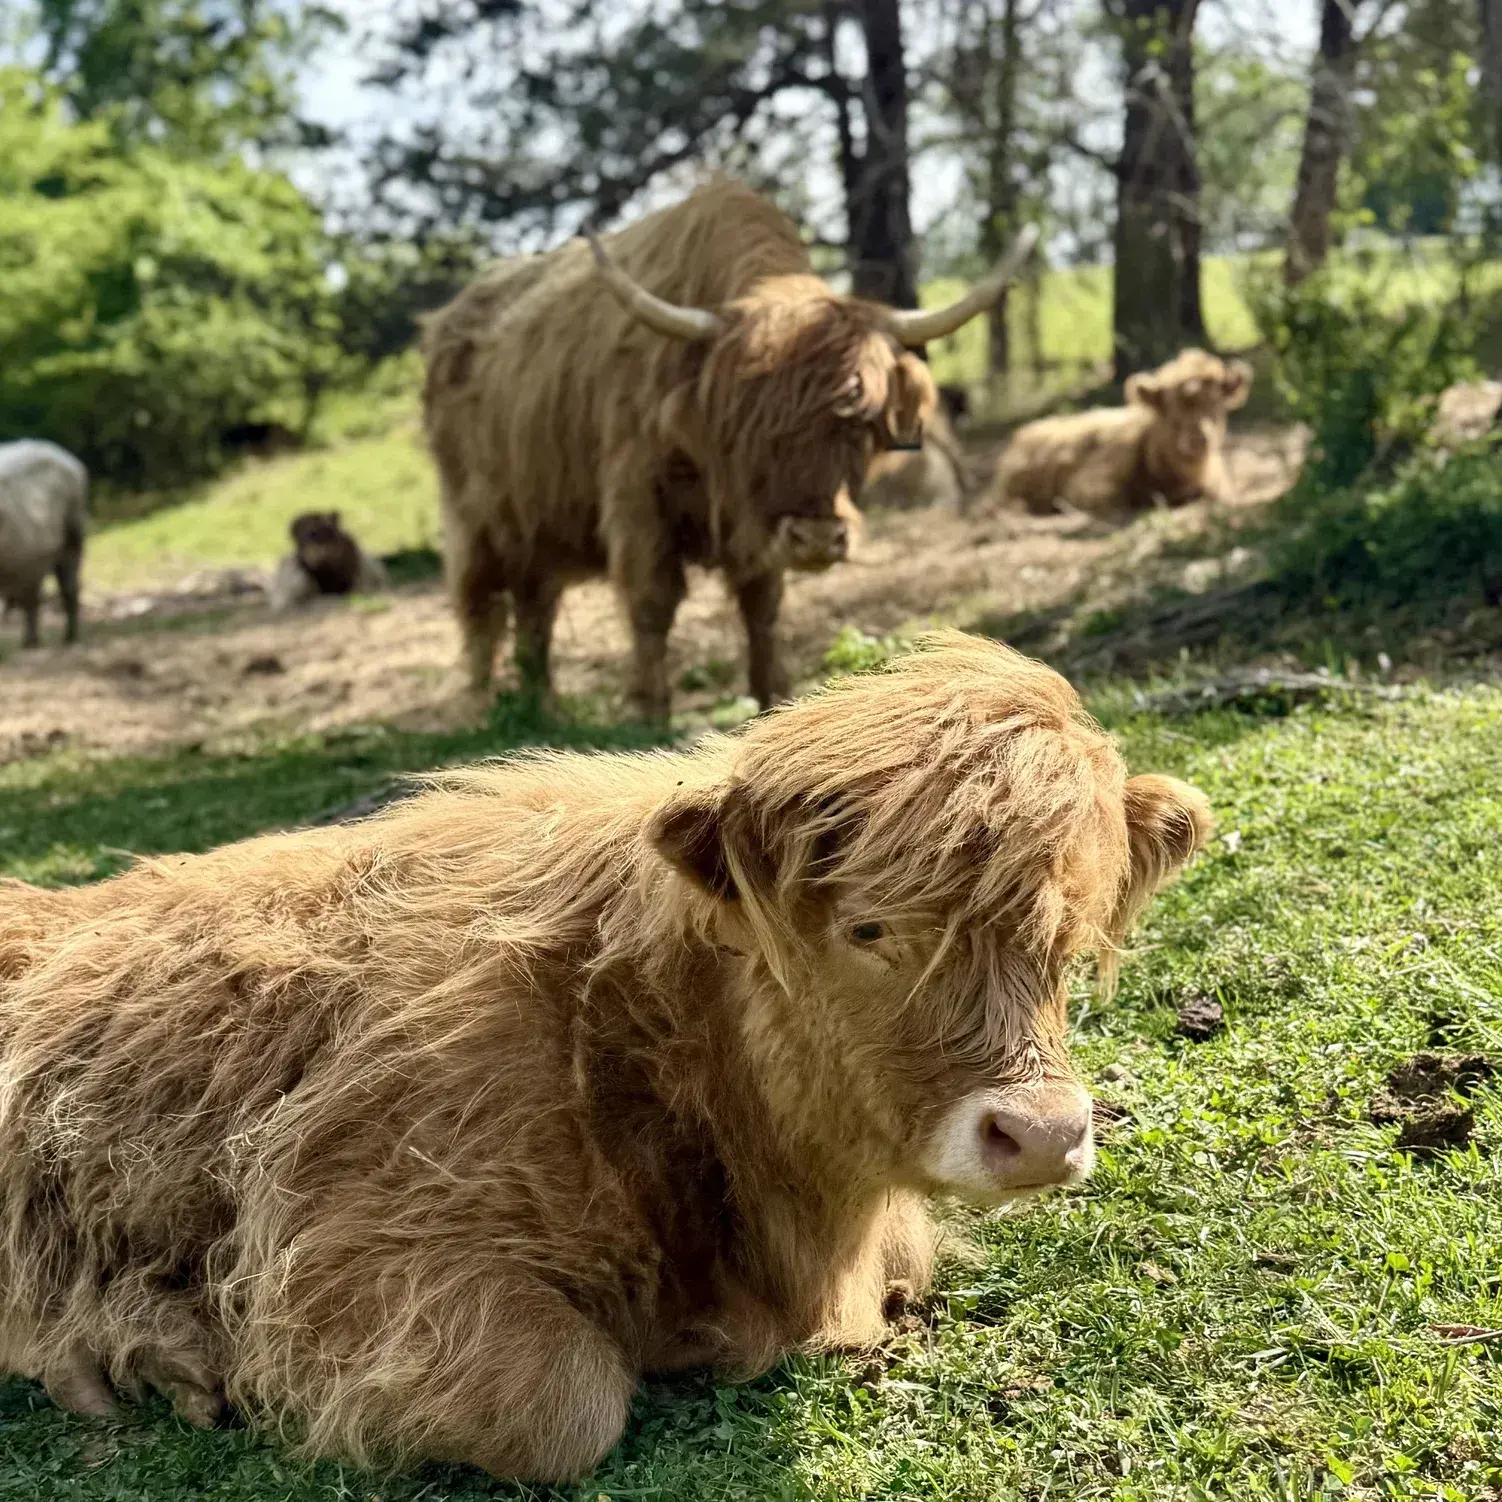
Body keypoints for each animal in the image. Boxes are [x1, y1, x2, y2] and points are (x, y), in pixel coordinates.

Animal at [422, 179, 1035, 717]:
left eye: (860, 422)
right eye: (749, 425)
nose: (817, 538)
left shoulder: (757, 527)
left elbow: (763, 606)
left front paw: (773, 701)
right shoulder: (637, 501)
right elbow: (651, 605)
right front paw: (650, 714)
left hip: (534, 526)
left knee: (535, 612)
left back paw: (541, 705)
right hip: (472, 519)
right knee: (480, 611)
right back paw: (484, 710)